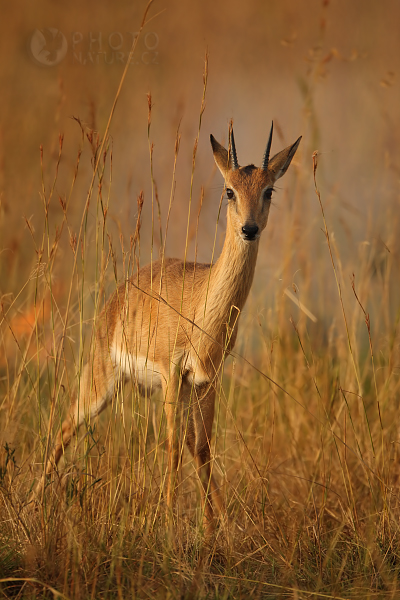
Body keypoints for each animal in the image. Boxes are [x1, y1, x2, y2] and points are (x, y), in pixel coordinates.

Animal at [36, 120, 300, 528]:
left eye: (268, 189)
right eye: (230, 190)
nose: (250, 229)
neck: (201, 308)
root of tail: (118, 295)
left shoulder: (207, 380)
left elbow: (202, 447)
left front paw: (215, 527)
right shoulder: (172, 372)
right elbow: (174, 446)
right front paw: (168, 520)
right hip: (102, 382)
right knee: (66, 425)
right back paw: (30, 505)